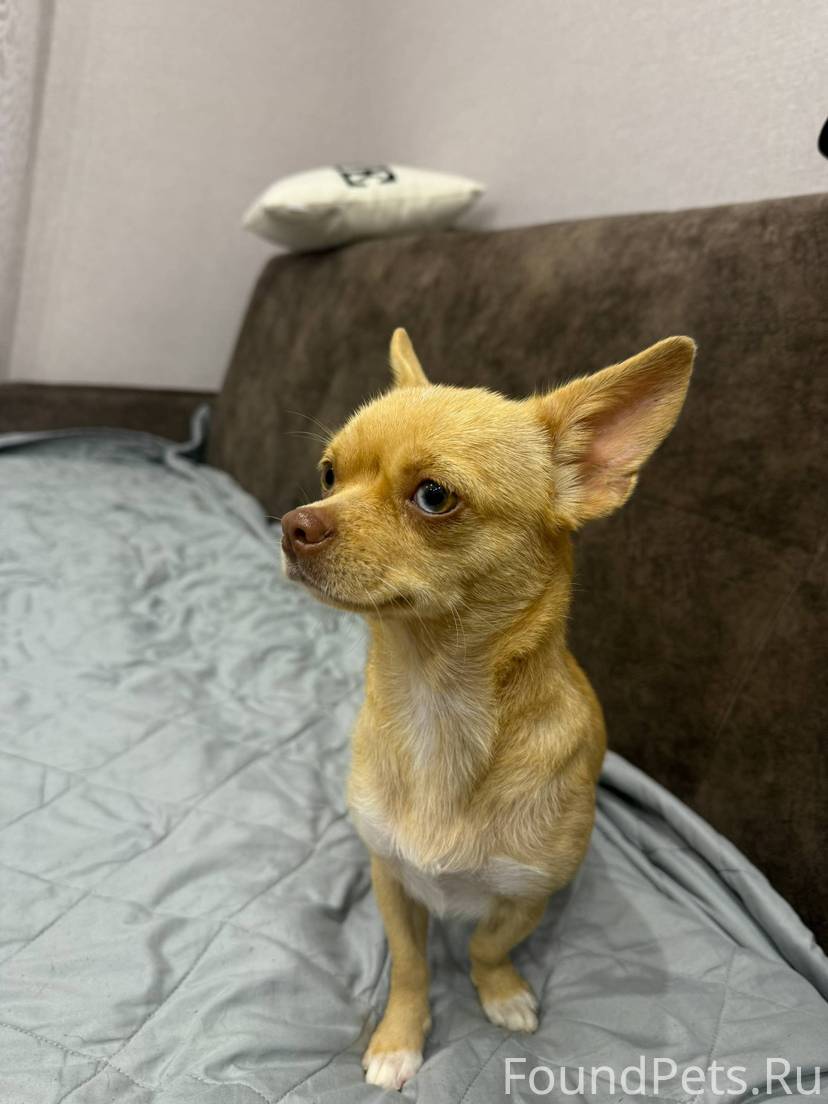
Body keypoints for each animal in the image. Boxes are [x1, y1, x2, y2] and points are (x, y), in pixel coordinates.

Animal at [281, 328, 694, 1091]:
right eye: (328, 475)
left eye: (433, 495)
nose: (294, 523)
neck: (435, 701)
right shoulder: (391, 878)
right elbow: (411, 965)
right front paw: (398, 1038)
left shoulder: (529, 895)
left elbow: (485, 944)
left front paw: (500, 994)